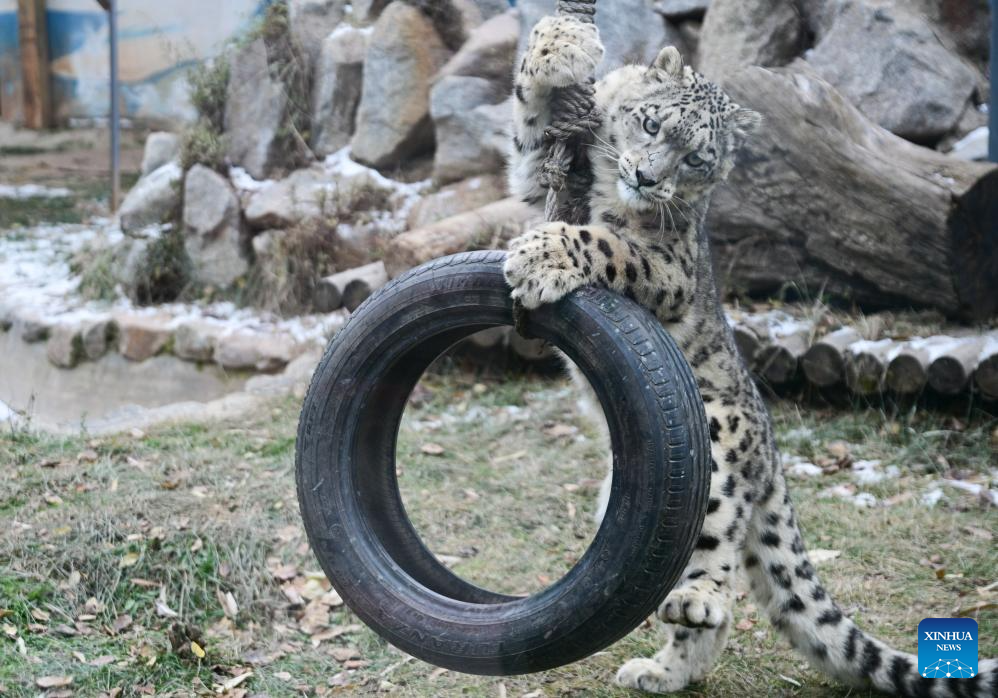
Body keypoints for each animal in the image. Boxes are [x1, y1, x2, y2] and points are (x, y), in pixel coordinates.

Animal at [504, 14, 997, 697]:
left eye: (696, 158)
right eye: (651, 124)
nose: (647, 178)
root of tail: (772, 450)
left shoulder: (668, 261)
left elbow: (605, 242)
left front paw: (540, 255)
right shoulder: (540, 181)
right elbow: (527, 125)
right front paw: (560, 45)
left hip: (717, 444)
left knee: (719, 570)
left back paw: (693, 607)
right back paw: (661, 671)